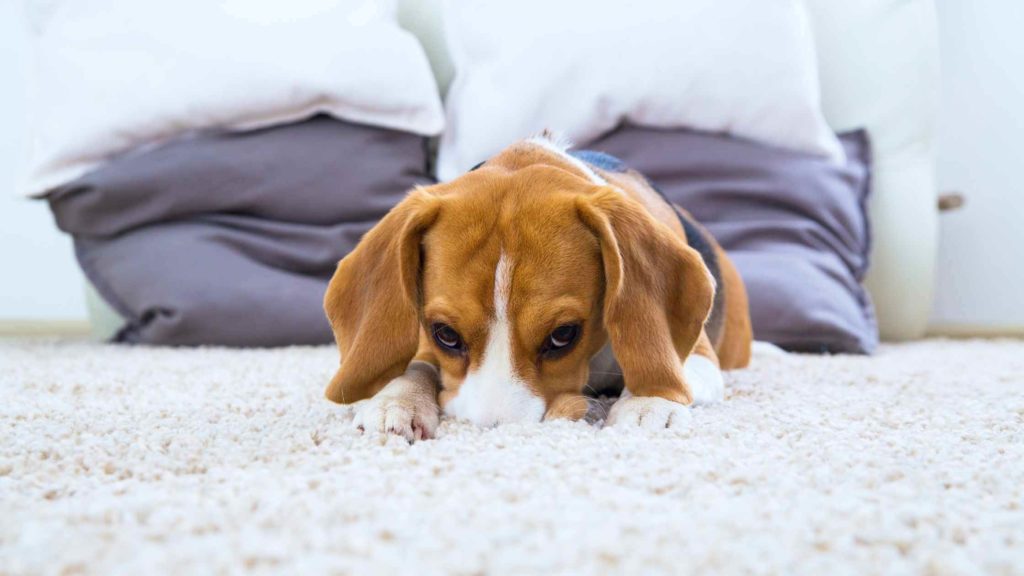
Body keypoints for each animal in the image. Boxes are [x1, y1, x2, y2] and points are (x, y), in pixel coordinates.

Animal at [325, 134, 753, 438]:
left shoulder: (699, 357)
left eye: (564, 335)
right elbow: (414, 365)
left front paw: (649, 403)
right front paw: (395, 400)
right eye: (445, 333)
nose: (496, 433)